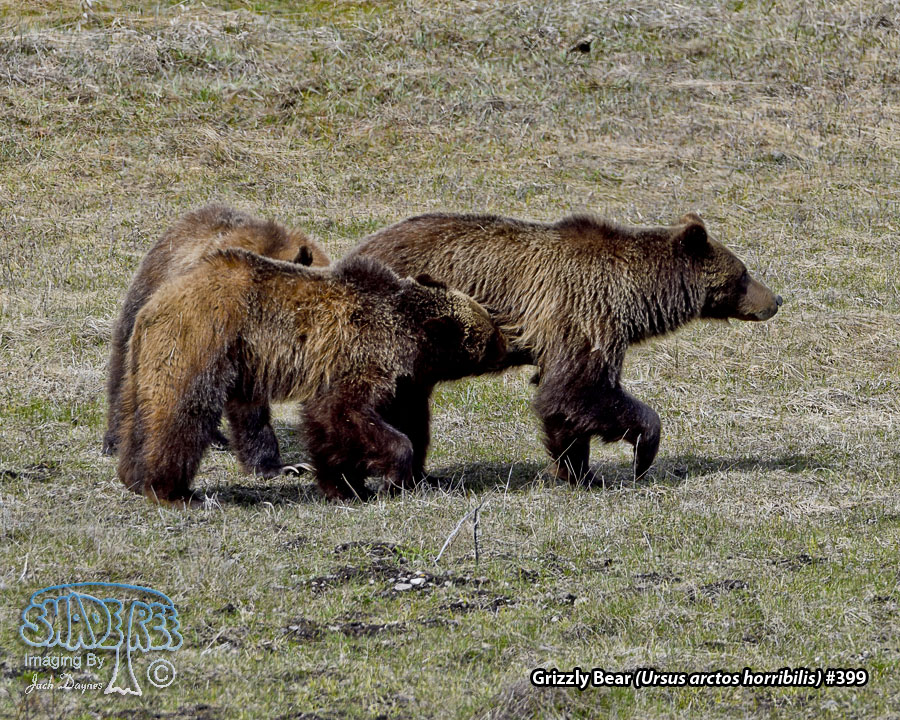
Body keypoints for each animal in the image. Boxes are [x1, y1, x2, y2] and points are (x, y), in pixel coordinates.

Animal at [116, 248, 507, 505]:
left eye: (491, 326)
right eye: (490, 336)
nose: (508, 345)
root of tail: (156, 303)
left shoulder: (403, 382)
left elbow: (349, 426)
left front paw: (351, 485)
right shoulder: (360, 355)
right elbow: (344, 412)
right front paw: (385, 477)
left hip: (143, 364)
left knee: (140, 416)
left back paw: (133, 476)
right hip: (200, 343)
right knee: (183, 414)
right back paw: (172, 490)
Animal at [349, 211, 782, 482]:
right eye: (743, 274)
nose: (776, 299)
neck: (636, 297)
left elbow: (564, 406)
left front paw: (575, 469)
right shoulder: (584, 312)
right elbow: (576, 390)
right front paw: (640, 455)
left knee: (412, 409)